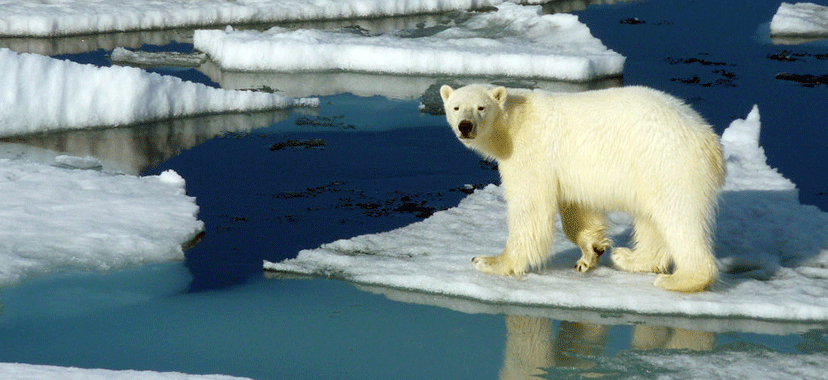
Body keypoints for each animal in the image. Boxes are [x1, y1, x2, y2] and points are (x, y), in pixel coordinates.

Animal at [440, 85, 724, 294]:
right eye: (456, 107)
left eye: (481, 107)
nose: (465, 125)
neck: (514, 122)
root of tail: (710, 141)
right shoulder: (568, 170)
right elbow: (578, 209)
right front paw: (590, 252)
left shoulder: (530, 153)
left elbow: (530, 210)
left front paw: (491, 262)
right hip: (649, 172)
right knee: (650, 218)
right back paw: (629, 258)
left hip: (668, 164)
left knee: (679, 219)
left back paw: (680, 279)